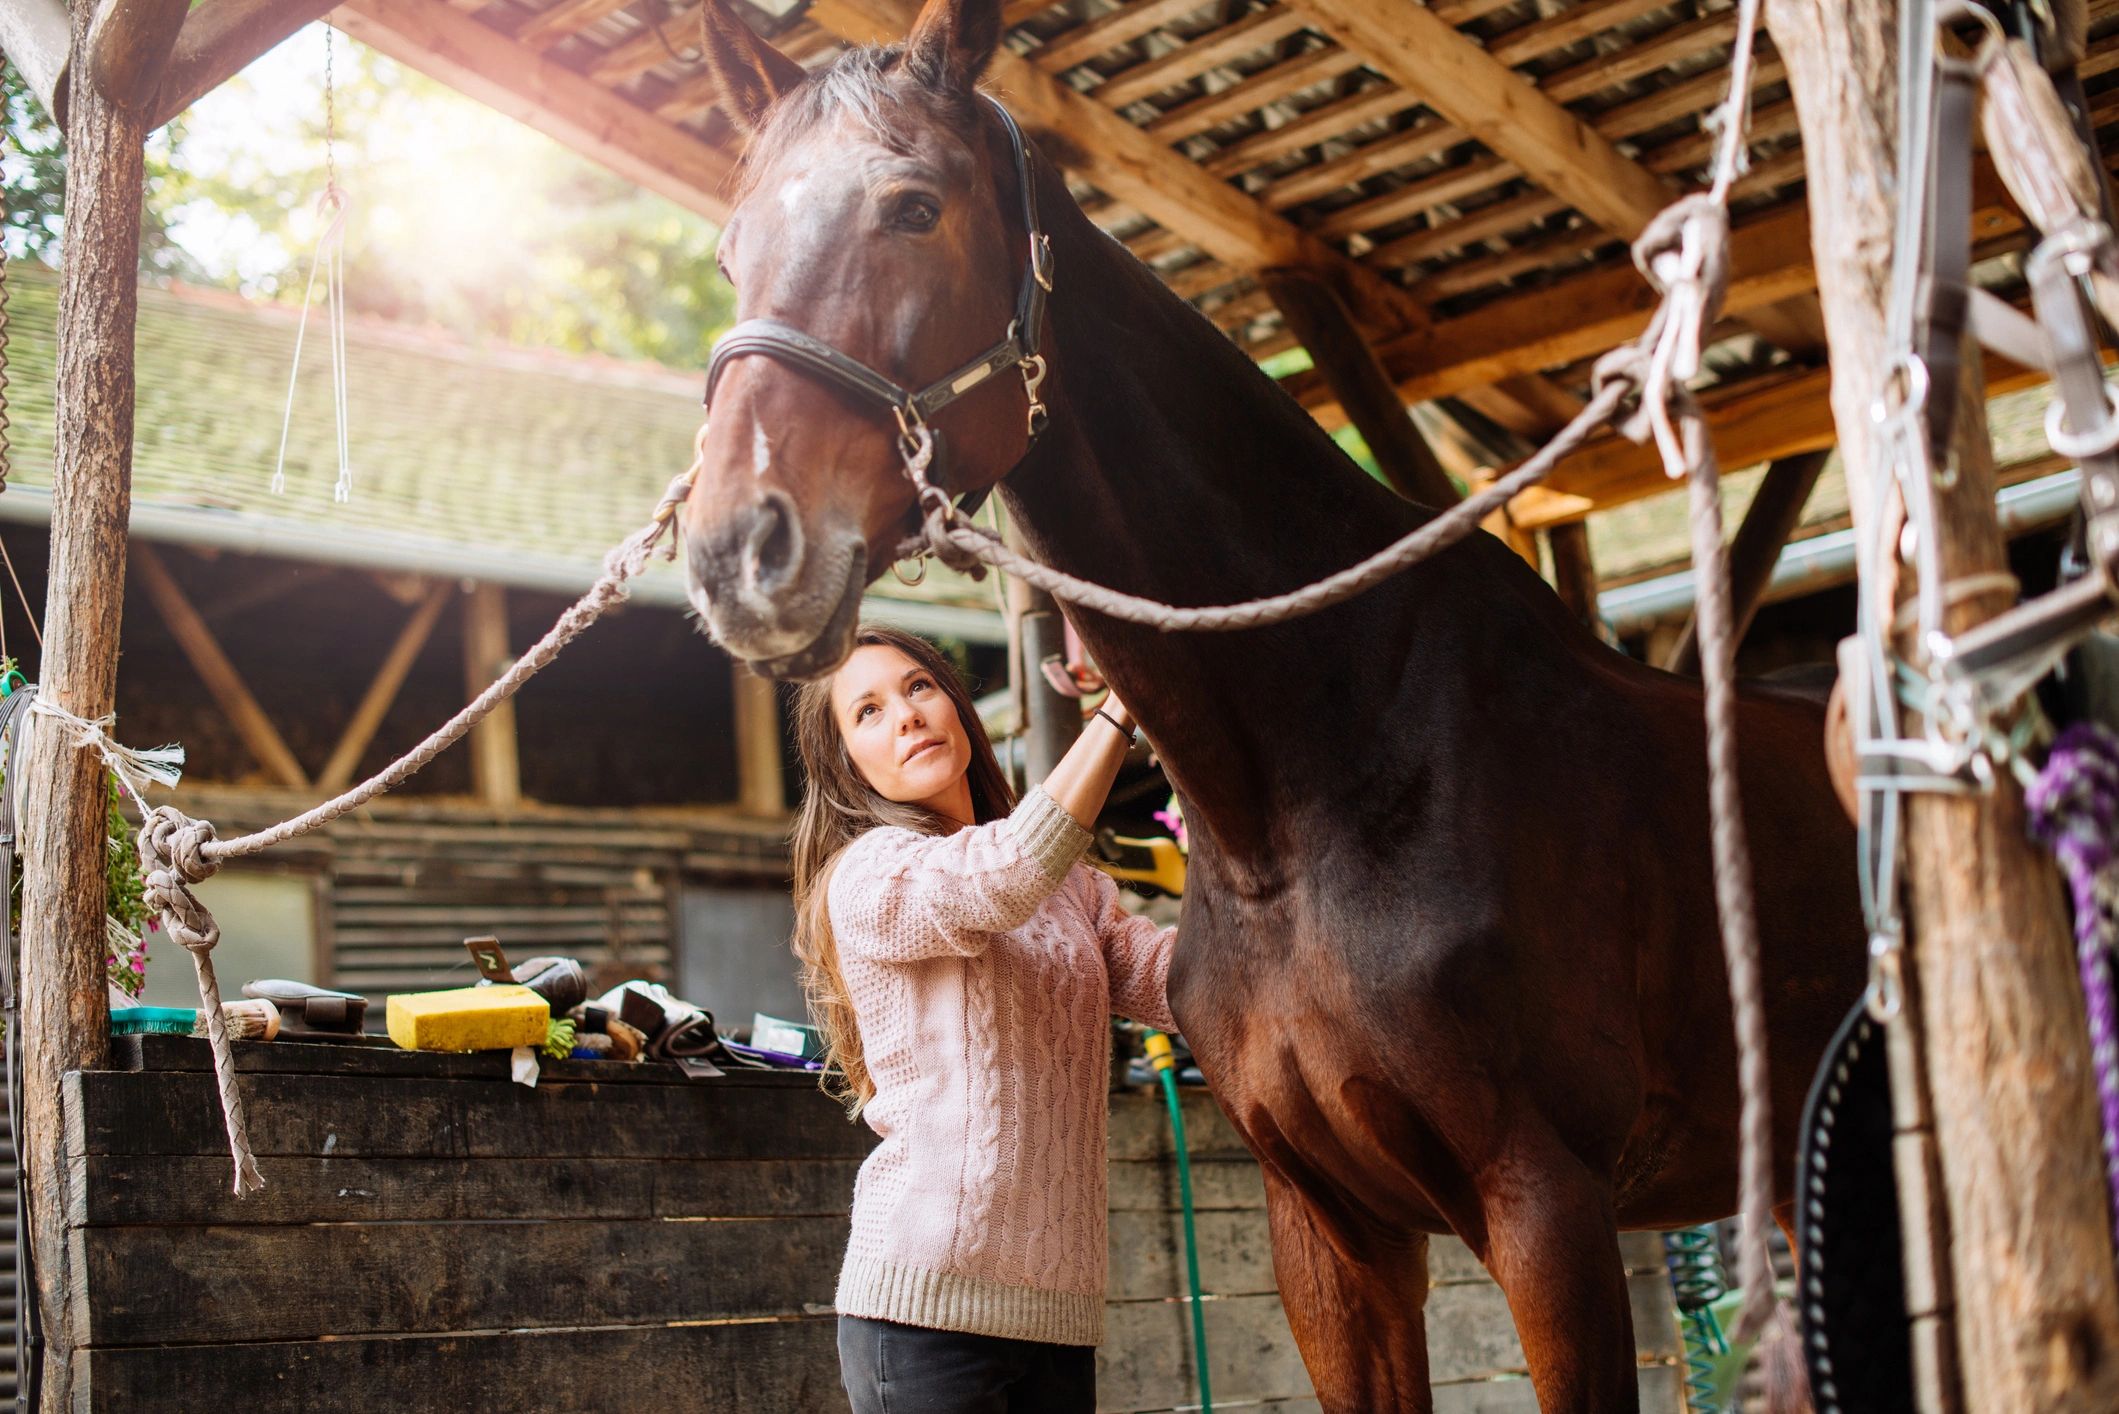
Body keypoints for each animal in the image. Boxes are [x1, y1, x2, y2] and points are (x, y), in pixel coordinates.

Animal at [682, 0, 1864, 1405]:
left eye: (913, 207)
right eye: (730, 252)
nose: (738, 550)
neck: (1312, 791)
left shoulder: (1547, 1205)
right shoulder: (1329, 1233)